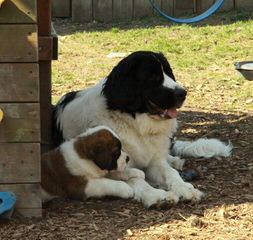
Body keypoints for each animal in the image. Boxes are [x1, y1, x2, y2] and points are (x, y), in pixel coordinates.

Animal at [53, 50, 233, 206]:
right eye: (153, 77)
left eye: (169, 73)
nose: (183, 93)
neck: (136, 123)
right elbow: (136, 178)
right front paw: (155, 195)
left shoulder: (153, 160)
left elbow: (169, 172)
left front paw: (184, 188)